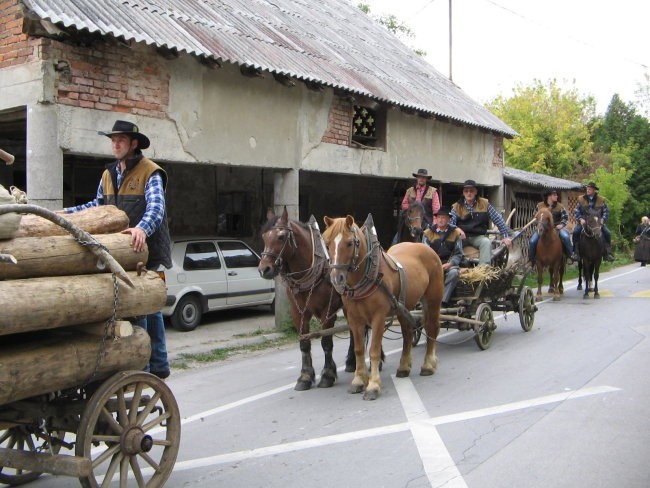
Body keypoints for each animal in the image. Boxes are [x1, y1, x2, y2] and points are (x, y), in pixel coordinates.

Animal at [256, 208, 342, 390]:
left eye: (281, 237)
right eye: (264, 237)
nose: (264, 269)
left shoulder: (328, 311)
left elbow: (326, 342)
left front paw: (328, 374)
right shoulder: (297, 311)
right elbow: (304, 343)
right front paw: (305, 376)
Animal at [322, 214, 442, 400]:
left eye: (349, 243)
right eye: (327, 244)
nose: (336, 279)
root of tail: (425, 247)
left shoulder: (378, 317)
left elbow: (374, 350)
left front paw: (373, 385)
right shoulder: (354, 319)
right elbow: (358, 349)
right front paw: (358, 380)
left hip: (433, 300)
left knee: (432, 328)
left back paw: (428, 364)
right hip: (402, 306)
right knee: (407, 334)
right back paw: (403, 367)